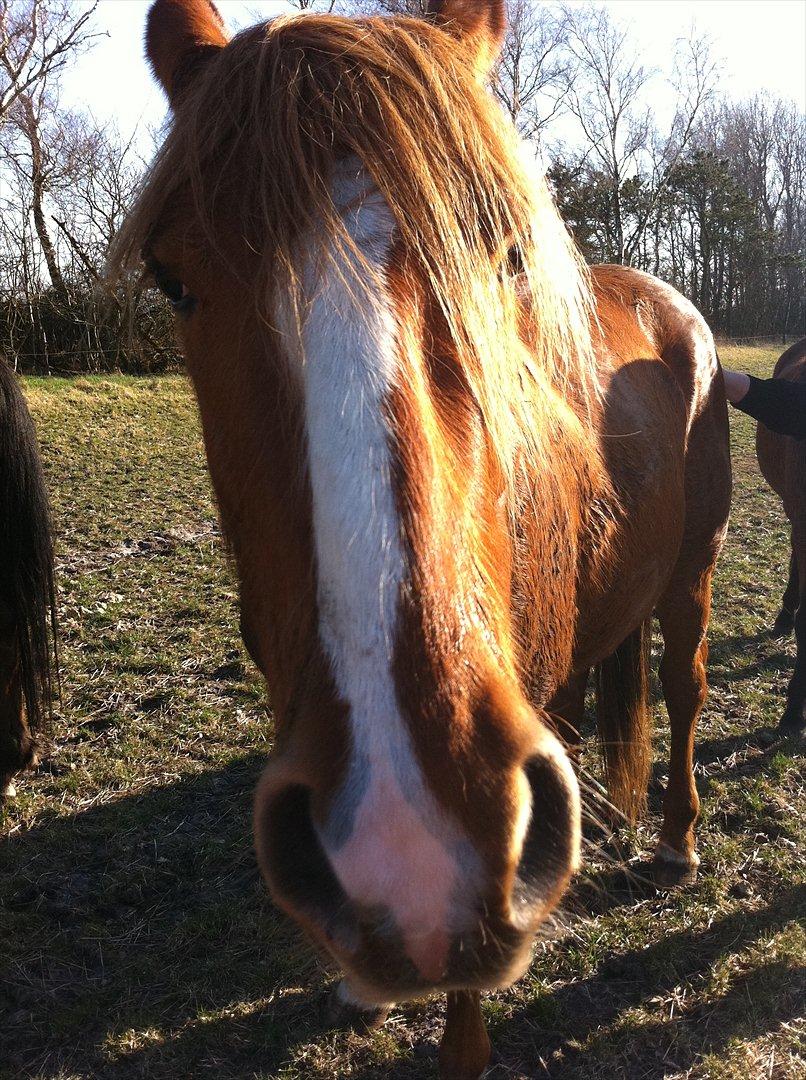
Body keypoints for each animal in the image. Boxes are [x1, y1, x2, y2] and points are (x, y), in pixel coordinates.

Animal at [111, 4, 730, 1075]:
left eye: (507, 251)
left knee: (683, 688)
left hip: (690, 576)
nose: (409, 842)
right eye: (173, 279)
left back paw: (675, 842)